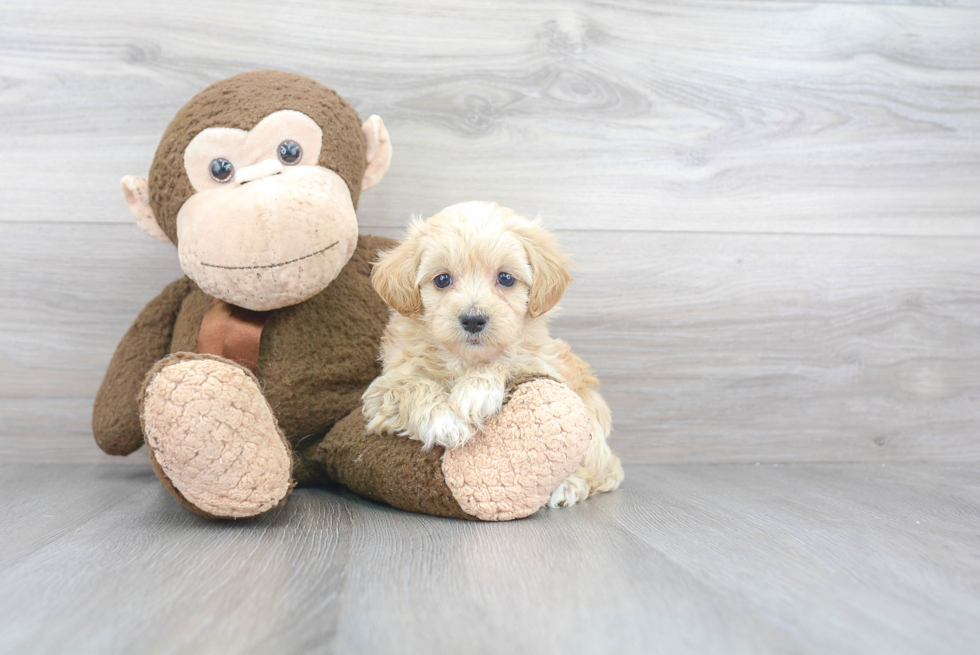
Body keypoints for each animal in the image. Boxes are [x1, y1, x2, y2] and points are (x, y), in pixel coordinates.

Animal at [364, 200, 624, 508]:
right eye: (442, 279)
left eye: (505, 278)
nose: (473, 319)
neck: (464, 359)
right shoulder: (383, 388)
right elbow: (412, 386)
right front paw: (445, 421)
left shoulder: (543, 363)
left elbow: (506, 360)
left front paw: (475, 393)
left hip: (591, 415)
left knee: (604, 467)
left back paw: (568, 486)